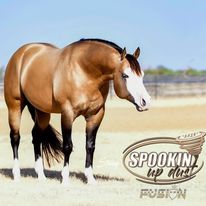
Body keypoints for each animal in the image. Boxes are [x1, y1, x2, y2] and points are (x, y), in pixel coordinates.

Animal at [4, 38, 150, 185]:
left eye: (142, 75)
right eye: (125, 75)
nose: (146, 102)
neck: (84, 72)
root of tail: (22, 53)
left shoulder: (95, 115)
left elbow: (90, 146)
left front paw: (90, 179)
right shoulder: (67, 114)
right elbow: (67, 146)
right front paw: (65, 179)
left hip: (42, 112)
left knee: (36, 136)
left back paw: (41, 175)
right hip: (15, 106)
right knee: (15, 137)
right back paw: (17, 175)